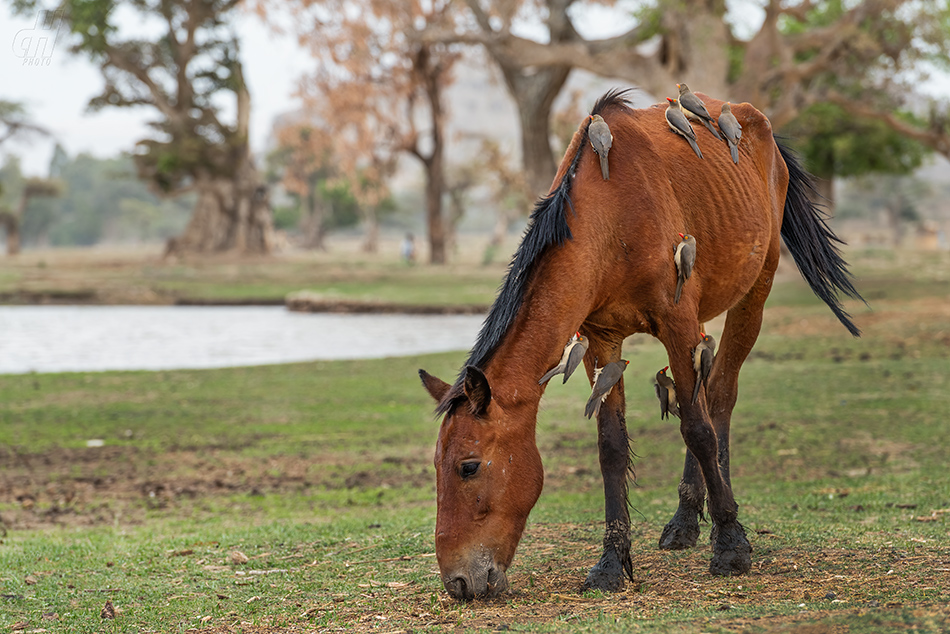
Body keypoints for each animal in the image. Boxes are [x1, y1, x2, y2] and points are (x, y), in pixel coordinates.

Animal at [416, 89, 864, 596]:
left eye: (468, 466)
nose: (458, 582)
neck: (611, 215)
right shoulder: (601, 342)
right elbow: (612, 447)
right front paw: (612, 562)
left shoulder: (677, 323)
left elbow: (698, 428)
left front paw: (731, 543)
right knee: (703, 395)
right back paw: (685, 521)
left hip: (754, 294)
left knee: (719, 399)